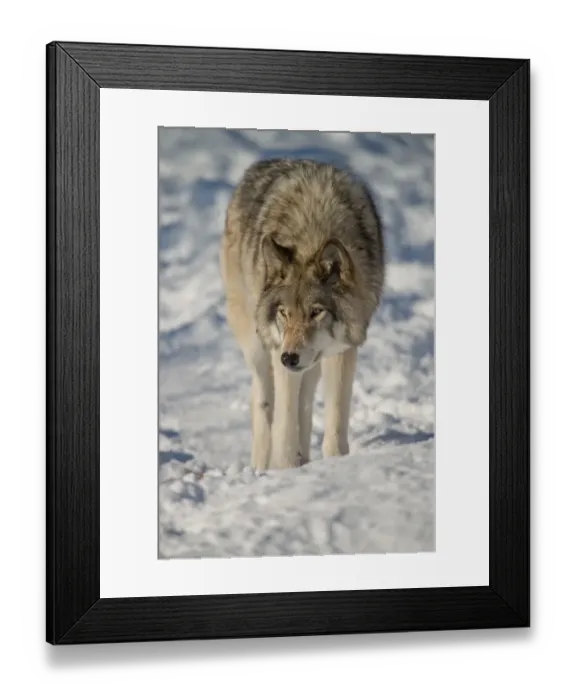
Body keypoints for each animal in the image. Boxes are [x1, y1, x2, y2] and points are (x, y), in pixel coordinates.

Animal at [220, 158, 385, 471]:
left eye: (316, 312)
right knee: (263, 402)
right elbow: (283, 423)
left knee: (305, 403)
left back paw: (303, 459)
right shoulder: (279, 351)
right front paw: (284, 470)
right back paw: (261, 466)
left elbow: (334, 420)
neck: (314, 234)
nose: (289, 358)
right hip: (258, 348)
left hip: (310, 362)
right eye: (284, 313)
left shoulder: (342, 350)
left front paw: (333, 465)